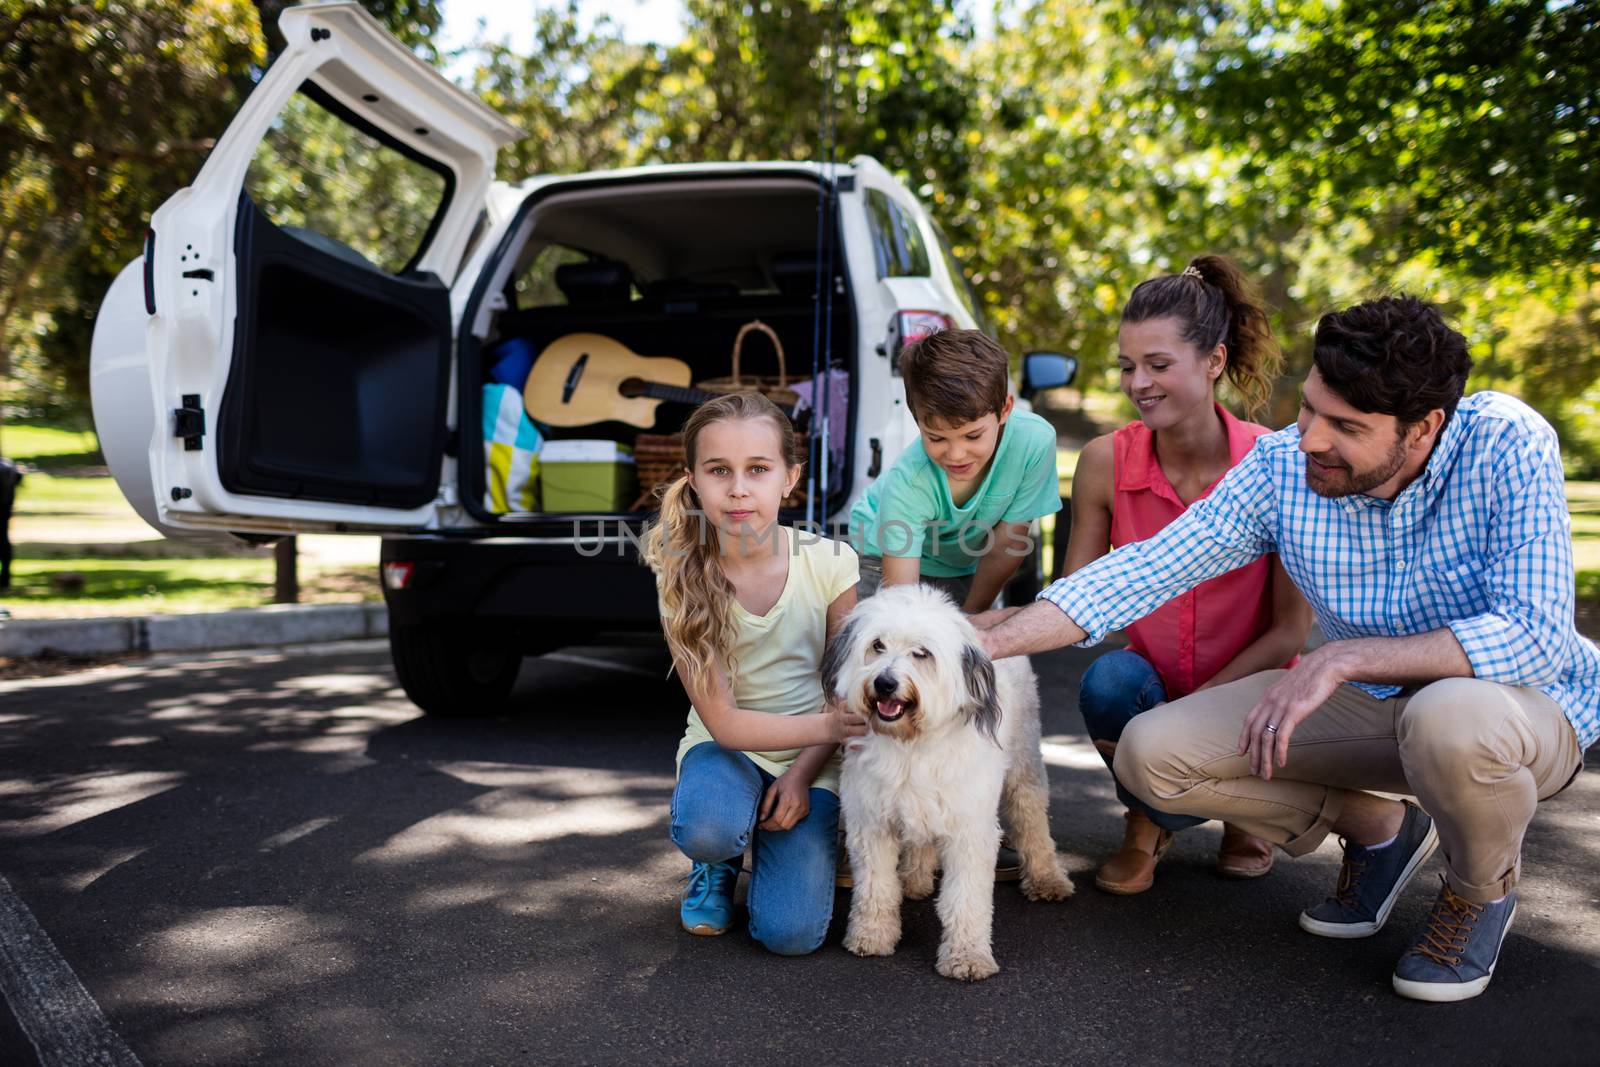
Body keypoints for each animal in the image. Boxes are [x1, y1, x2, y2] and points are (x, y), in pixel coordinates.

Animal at [825, 585, 1075, 985]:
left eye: (922, 653)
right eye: (877, 645)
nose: (884, 683)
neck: (912, 744)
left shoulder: (970, 831)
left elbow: (966, 900)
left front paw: (967, 956)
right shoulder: (871, 822)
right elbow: (875, 887)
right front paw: (872, 935)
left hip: (1024, 767)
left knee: (1031, 820)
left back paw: (1046, 878)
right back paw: (914, 879)